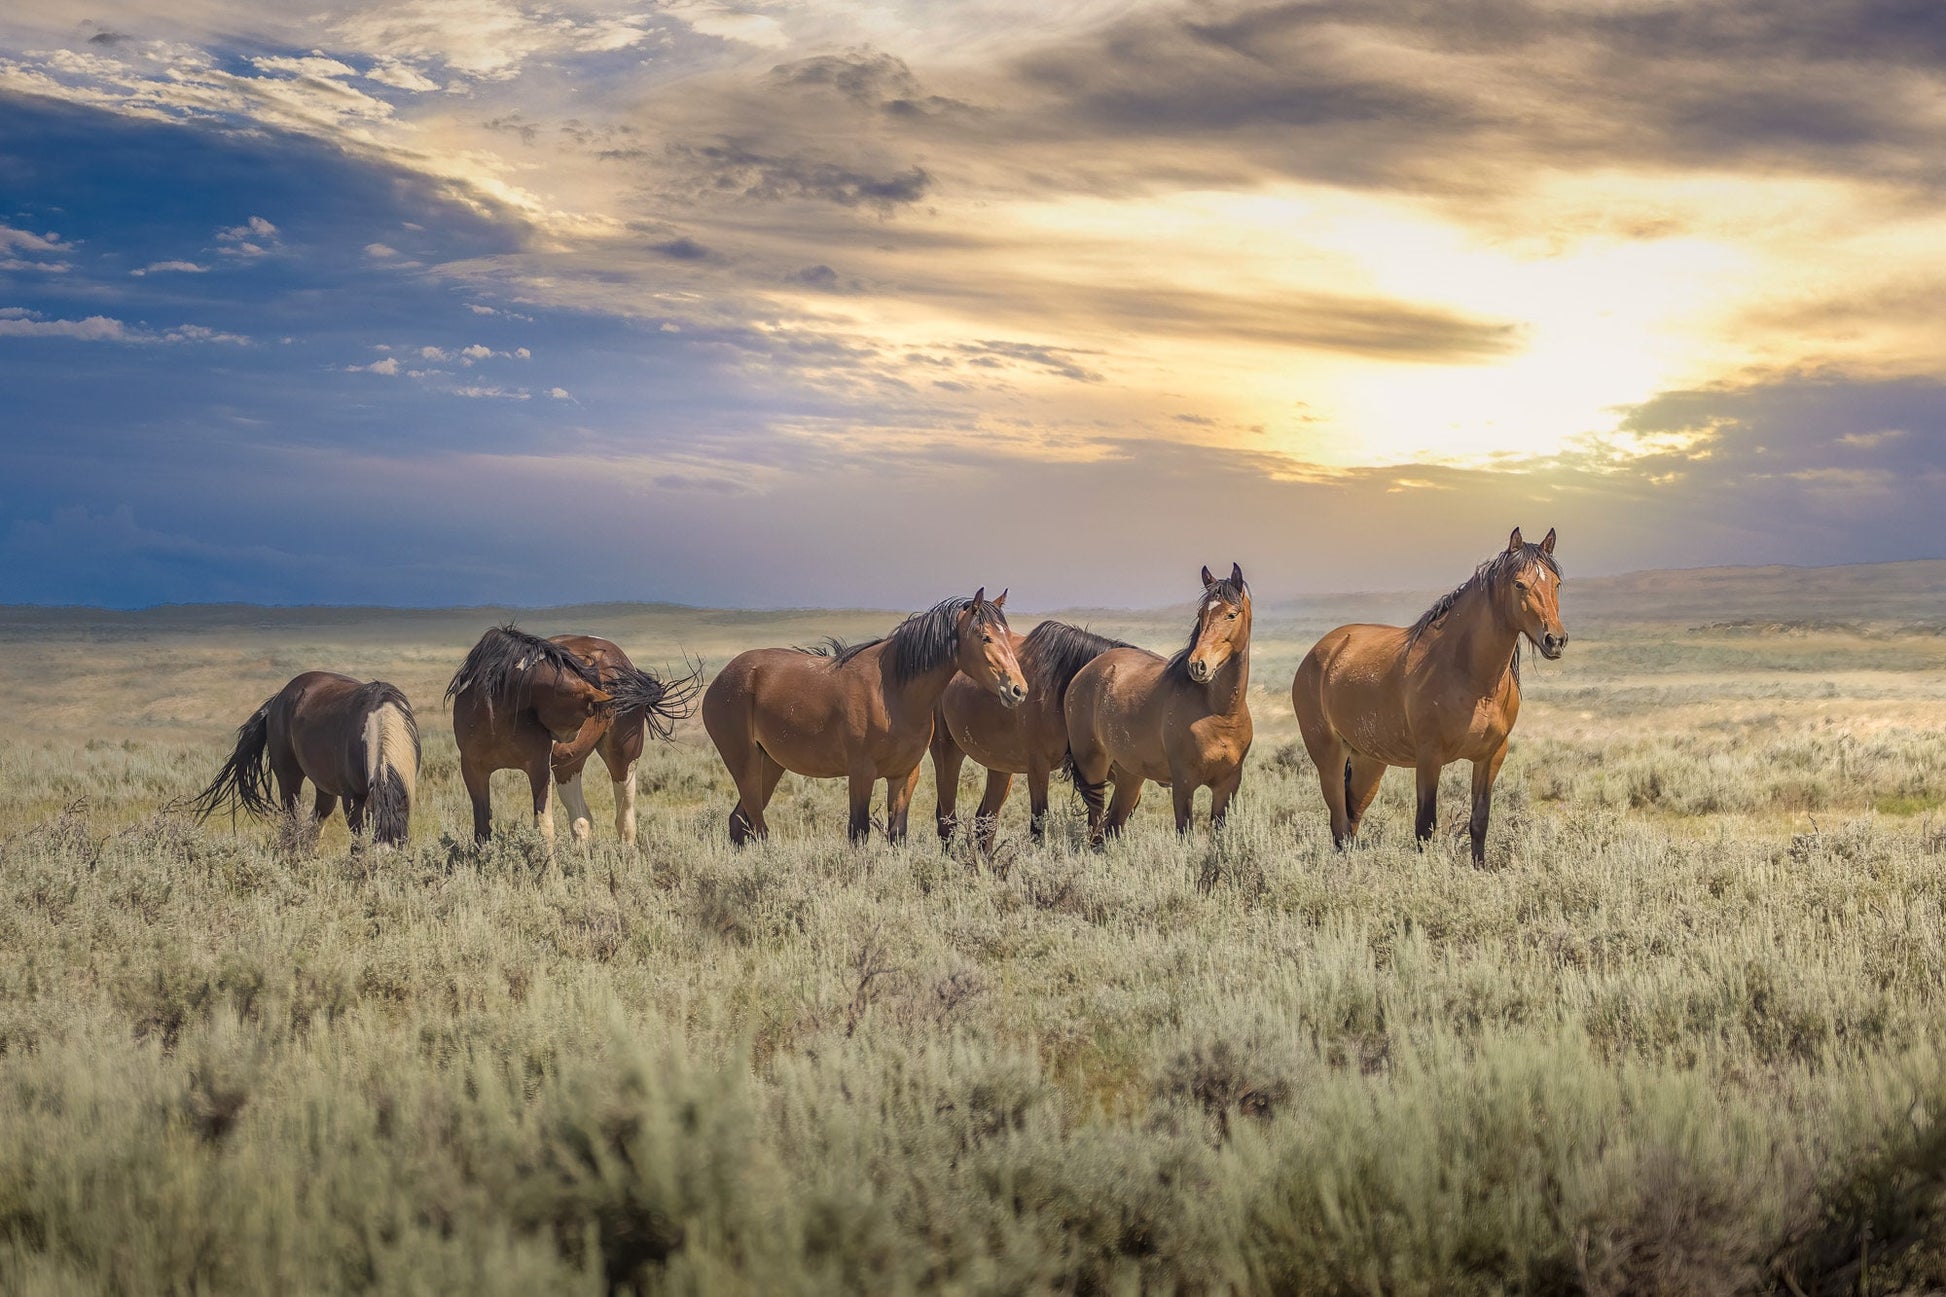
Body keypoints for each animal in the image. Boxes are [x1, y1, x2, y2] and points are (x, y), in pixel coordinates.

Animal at [445, 627, 696, 849]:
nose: (566, 738)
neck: (495, 712)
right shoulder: (474, 770)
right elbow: (482, 830)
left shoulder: (538, 768)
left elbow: (543, 828)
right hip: (569, 766)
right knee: (581, 820)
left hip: (623, 759)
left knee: (624, 821)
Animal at [704, 588, 1035, 849]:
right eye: (985, 637)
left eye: (1008, 637)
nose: (1018, 690)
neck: (891, 691)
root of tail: (721, 679)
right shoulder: (861, 773)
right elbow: (858, 832)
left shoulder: (904, 775)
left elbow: (897, 834)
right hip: (744, 762)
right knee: (757, 826)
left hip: (770, 764)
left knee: (739, 821)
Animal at [930, 619, 1136, 849]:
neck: (1064, 685)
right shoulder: (1038, 767)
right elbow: (1039, 823)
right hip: (947, 752)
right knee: (947, 820)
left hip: (1001, 768)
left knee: (985, 820)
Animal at [1058, 564, 1253, 845]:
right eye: (1201, 614)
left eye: (1231, 614)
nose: (1198, 665)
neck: (1219, 713)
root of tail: (1086, 671)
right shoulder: (1183, 783)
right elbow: (1185, 834)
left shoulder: (1227, 786)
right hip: (1092, 768)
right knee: (1095, 824)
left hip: (1129, 776)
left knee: (1111, 826)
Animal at [1292, 521, 1564, 864]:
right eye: (1519, 584)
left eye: (1556, 584)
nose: (1555, 640)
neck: (1471, 677)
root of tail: (1321, 652)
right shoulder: (1429, 756)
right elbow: (1425, 825)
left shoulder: (1491, 756)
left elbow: (1479, 821)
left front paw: (1480, 869)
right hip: (1329, 755)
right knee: (1339, 822)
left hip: (1369, 760)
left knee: (1351, 820)